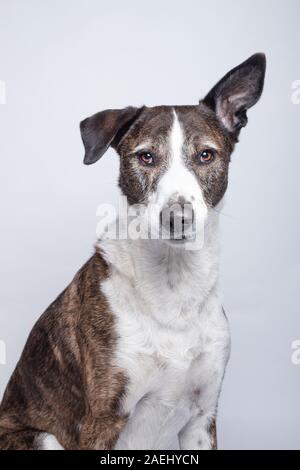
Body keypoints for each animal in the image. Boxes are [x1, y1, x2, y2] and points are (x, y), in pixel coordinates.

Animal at [0, 53, 266, 450]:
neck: (173, 283)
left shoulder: (202, 419)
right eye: (146, 157)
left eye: (206, 155)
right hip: (41, 438)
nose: (178, 218)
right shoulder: (102, 419)